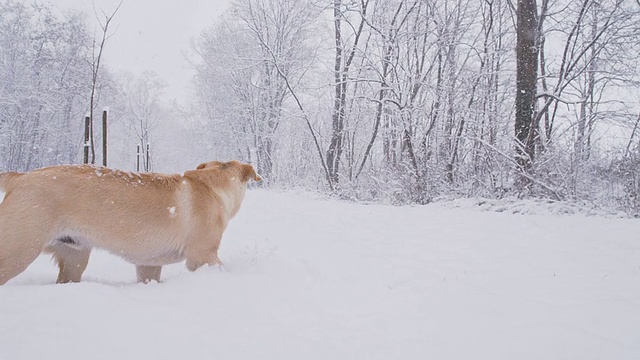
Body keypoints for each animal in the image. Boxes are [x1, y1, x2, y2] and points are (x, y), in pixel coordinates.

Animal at [0, 160, 262, 284]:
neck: (211, 184)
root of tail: (20, 177)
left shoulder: (149, 264)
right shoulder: (203, 256)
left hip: (75, 258)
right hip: (18, 251)